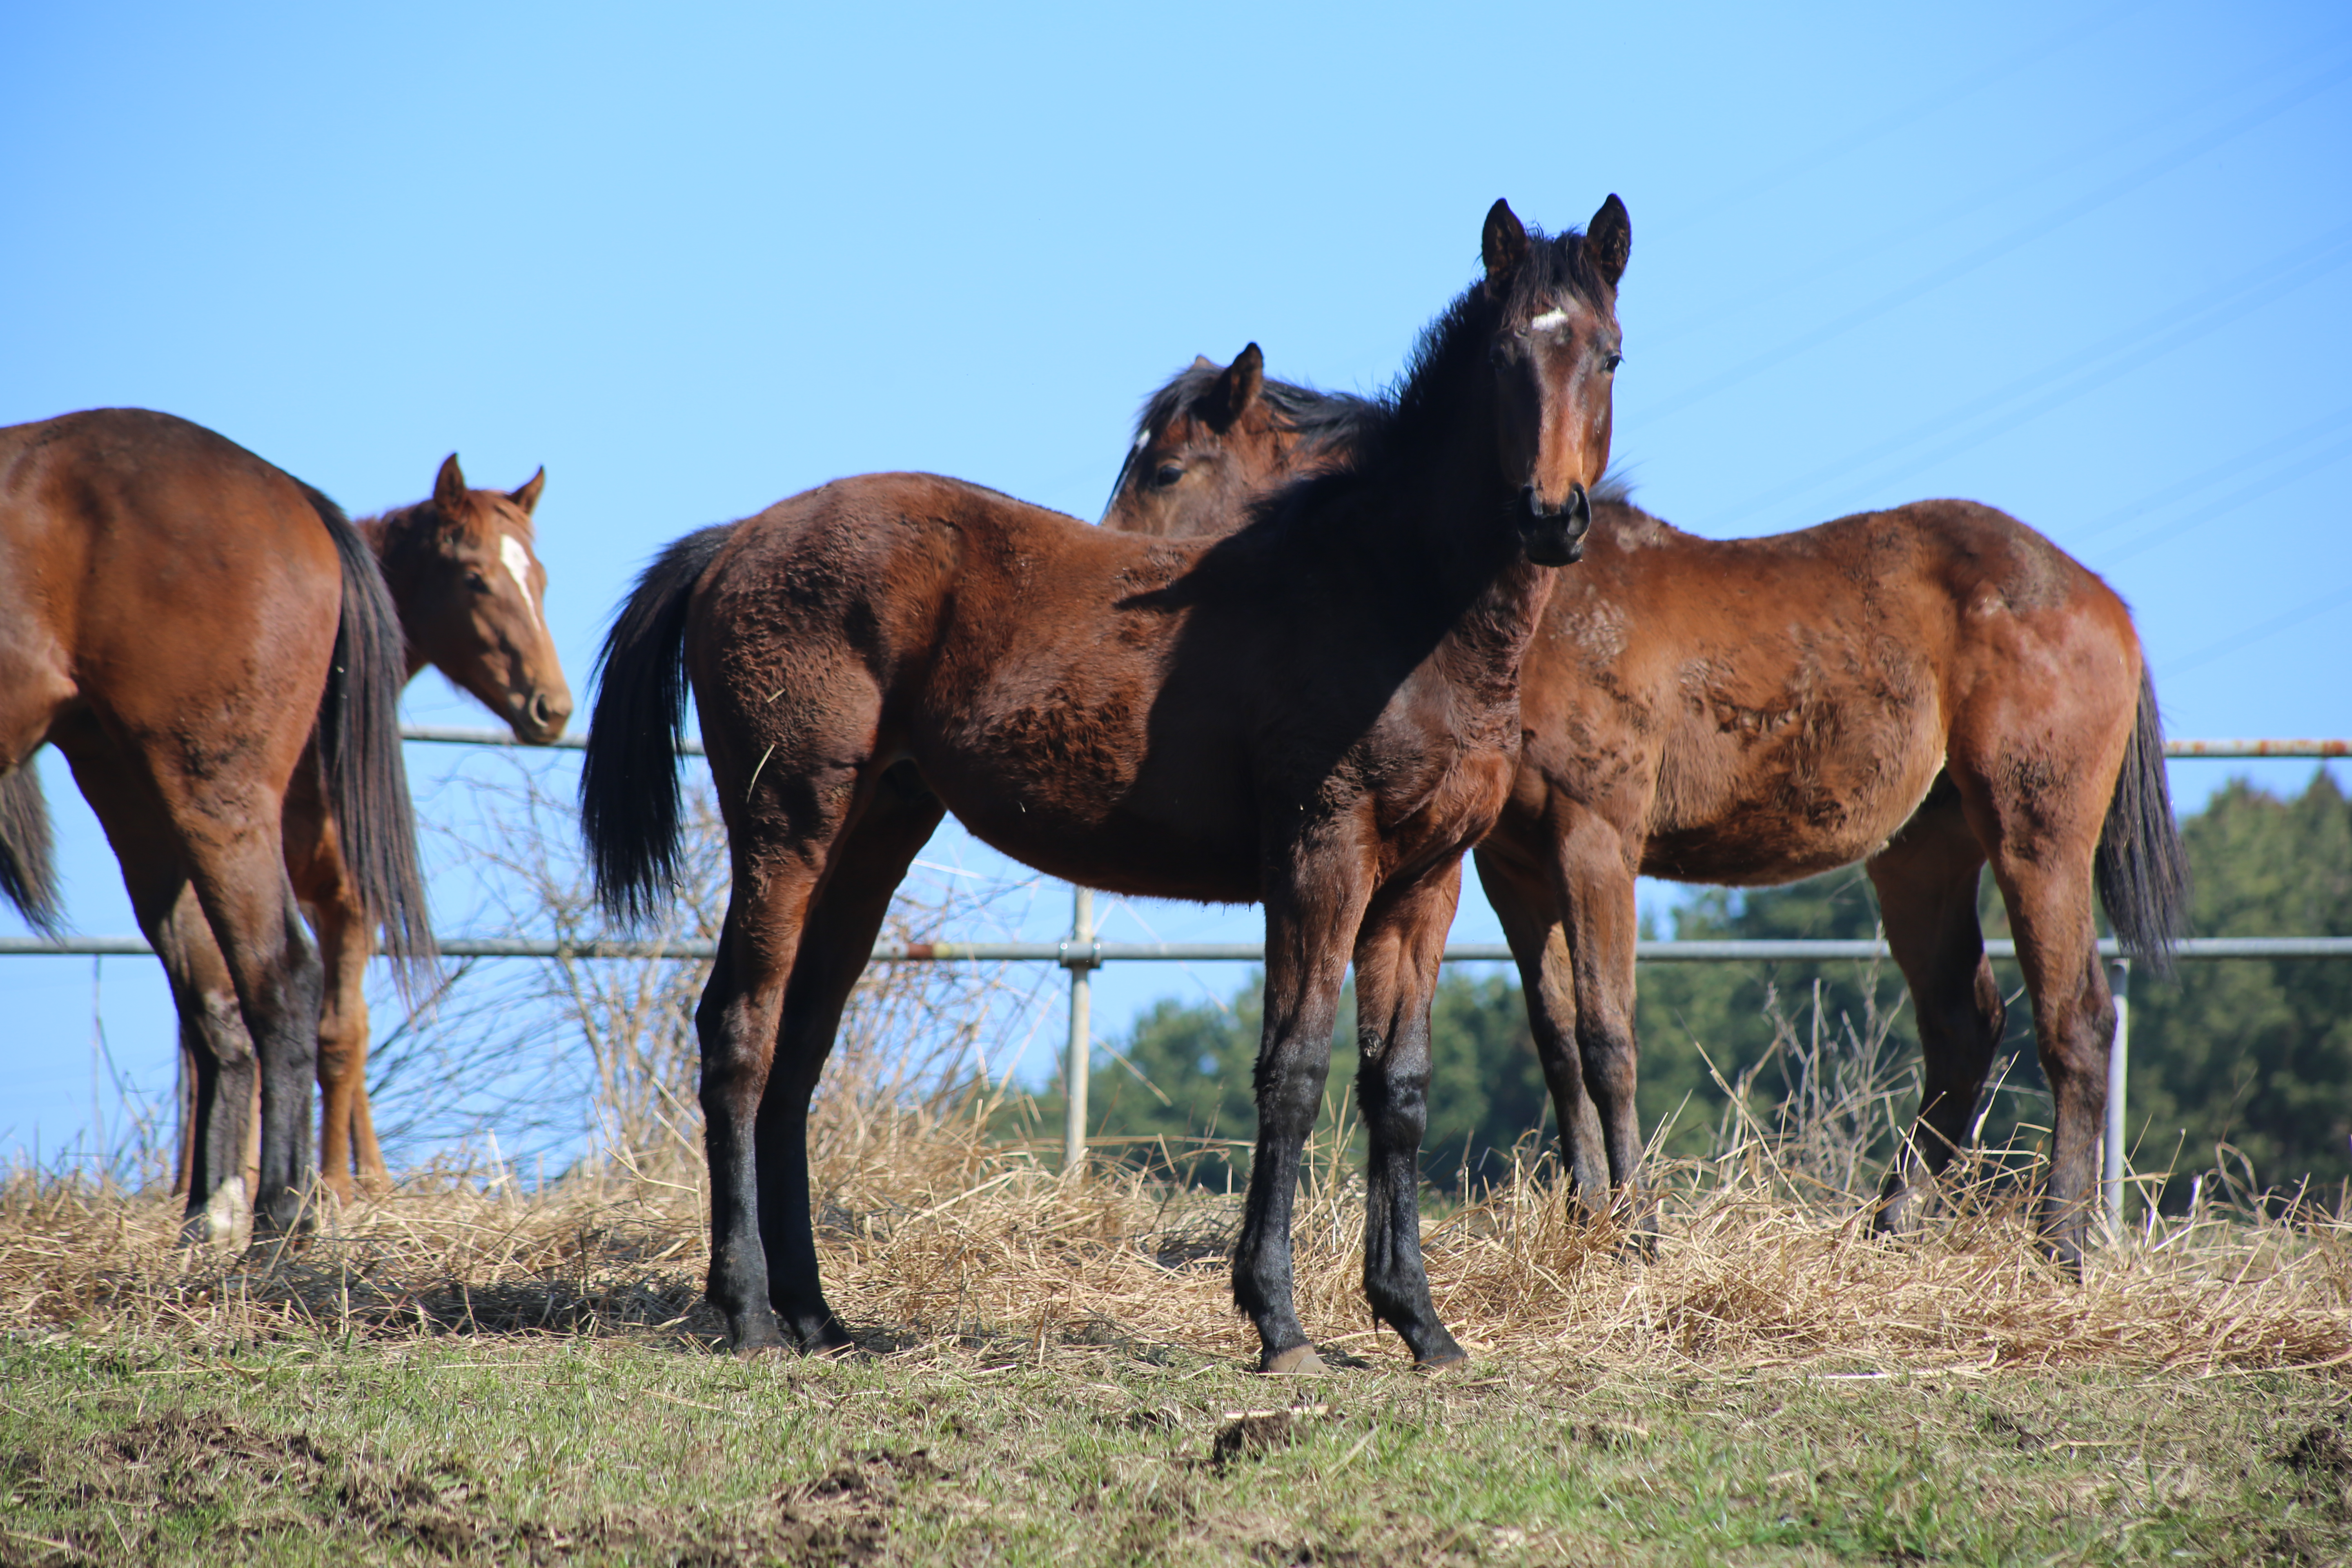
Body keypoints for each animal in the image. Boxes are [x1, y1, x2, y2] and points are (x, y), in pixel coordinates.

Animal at [0, 404, 432, 1241]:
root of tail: (295, 496)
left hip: (211, 789)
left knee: (281, 978)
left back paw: (278, 1218)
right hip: (136, 792)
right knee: (215, 999)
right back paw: (213, 1215)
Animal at [170, 454, 574, 1203]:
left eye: (539, 578)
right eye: (475, 578)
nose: (552, 708)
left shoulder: (350, 900)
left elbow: (340, 1037)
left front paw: (335, 1184)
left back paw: (372, 1176)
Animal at [578, 200, 1627, 1373]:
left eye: (1608, 355)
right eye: (1503, 361)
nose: (1552, 515)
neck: (1396, 601)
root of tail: (734, 542)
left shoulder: (1423, 883)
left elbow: (1397, 1089)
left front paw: (1419, 1323)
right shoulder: (1321, 856)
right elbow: (1294, 1069)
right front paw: (1279, 1323)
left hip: (872, 836)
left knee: (800, 1049)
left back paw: (815, 1314)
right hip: (786, 824)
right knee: (740, 1031)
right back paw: (751, 1310)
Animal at [1100, 350, 2183, 1269]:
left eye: (1167, 469)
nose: (1109, 576)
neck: (1527, 613)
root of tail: (2102, 598)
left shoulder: (1596, 841)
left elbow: (1606, 1033)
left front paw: (1639, 1228)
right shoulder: (1512, 864)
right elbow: (1553, 1040)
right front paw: (1588, 1215)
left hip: (2033, 835)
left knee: (2076, 1017)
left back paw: (2060, 1243)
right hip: (1920, 857)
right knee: (1963, 1027)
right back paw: (1888, 1227)